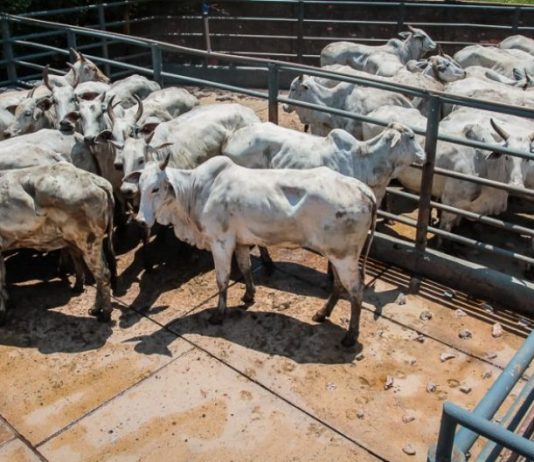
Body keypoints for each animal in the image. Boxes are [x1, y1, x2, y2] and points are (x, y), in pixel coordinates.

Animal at [0, 162, 116, 324]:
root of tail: (96, 180)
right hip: (93, 242)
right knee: (99, 274)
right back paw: (95, 308)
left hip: (88, 241)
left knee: (103, 274)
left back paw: (105, 313)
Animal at [126, 155, 377, 347]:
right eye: (140, 188)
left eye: (156, 189)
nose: (140, 221)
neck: (196, 192)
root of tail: (363, 189)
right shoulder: (240, 242)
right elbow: (245, 267)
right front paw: (249, 295)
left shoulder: (221, 241)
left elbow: (222, 279)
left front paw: (219, 314)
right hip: (335, 254)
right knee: (339, 285)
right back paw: (322, 314)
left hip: (345, 256)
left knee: (356, 291)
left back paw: (350, 336)